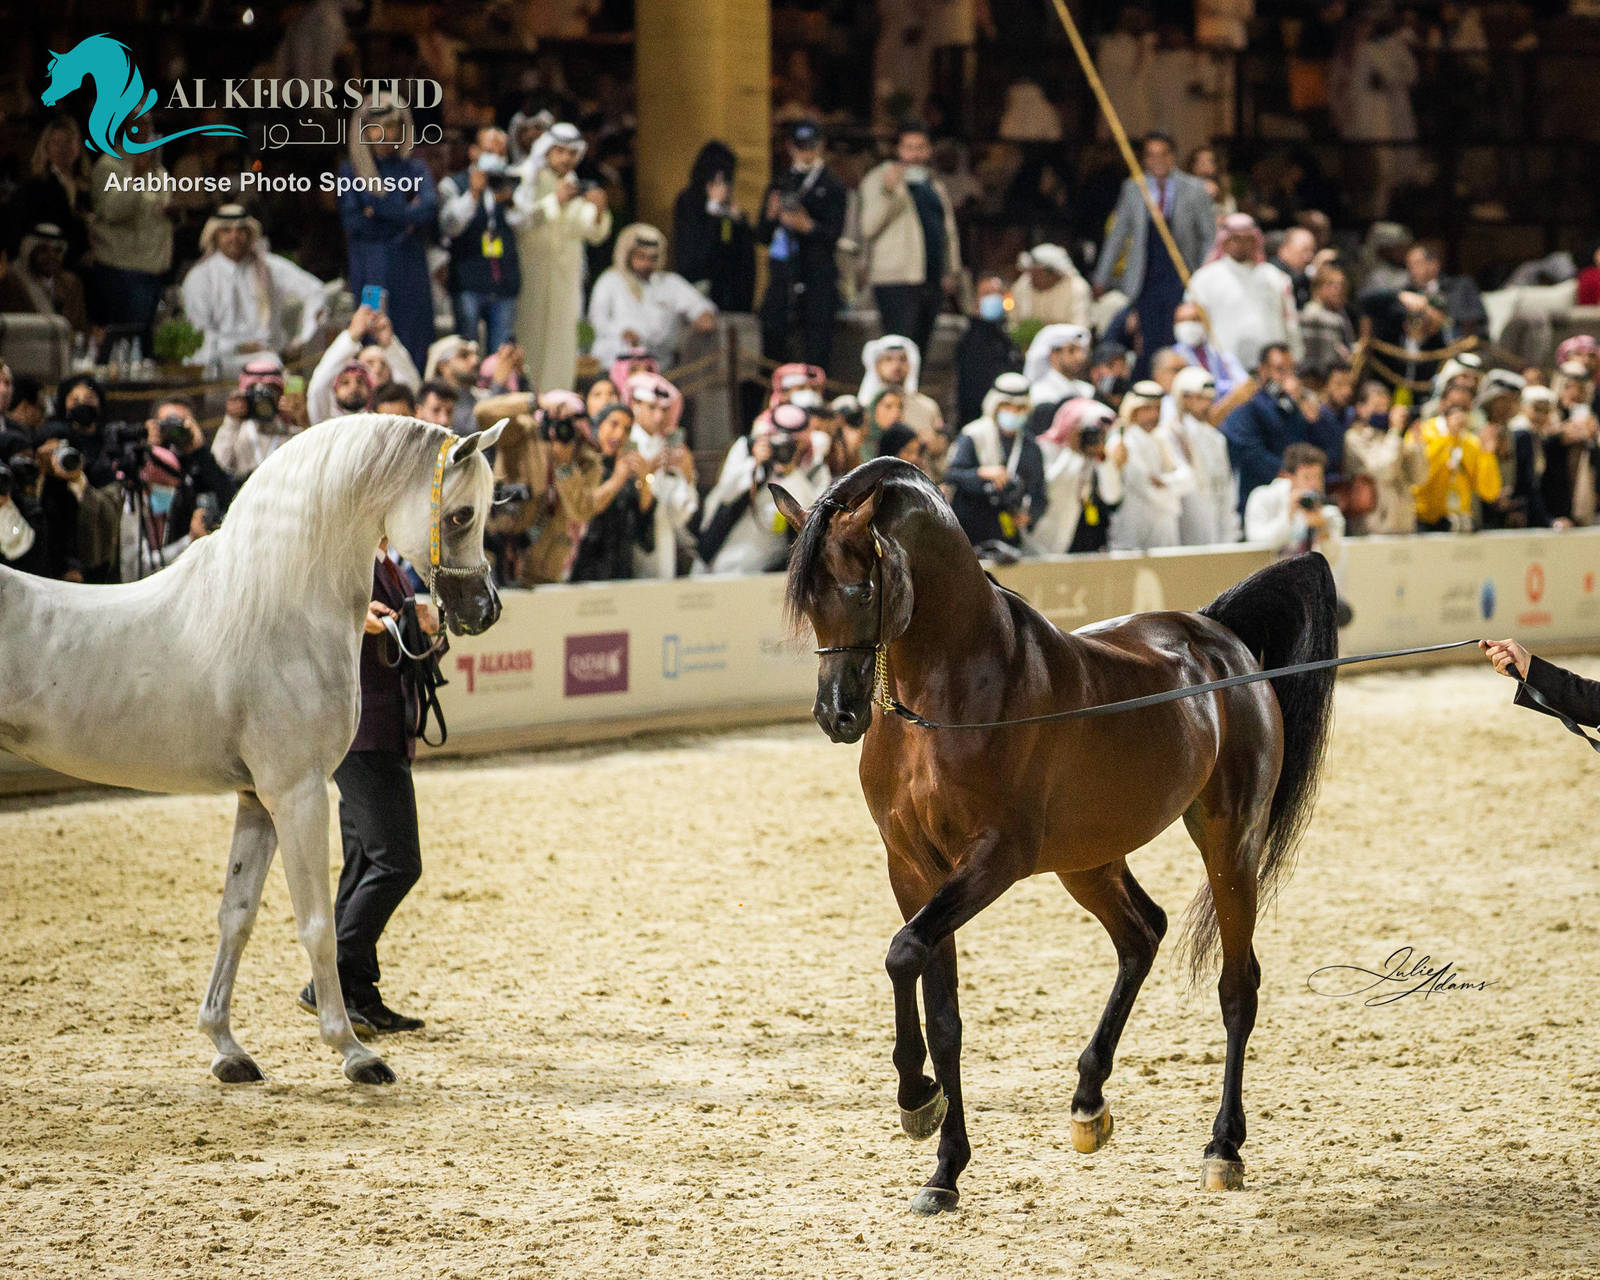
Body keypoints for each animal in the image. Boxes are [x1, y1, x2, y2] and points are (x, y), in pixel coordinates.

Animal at [0, 413, 504, 1086]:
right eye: (461, 514)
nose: (484, 611)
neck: (276, 608)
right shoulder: (298, 794)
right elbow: (317, 924)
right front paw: (354, 1051)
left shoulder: (257, 801)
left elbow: (235, 917)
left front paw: (227, 1048)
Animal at [774, 456, 1337, 1214]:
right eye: (808, 601)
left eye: (861, 587)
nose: (837, 714)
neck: (952, 691)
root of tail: (1220, 638)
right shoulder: (913, 867)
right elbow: (940, 1007)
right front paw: (944, 1167)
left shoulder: (992, 861)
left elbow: (902, 954)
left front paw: (916, 1098)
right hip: (1088, 859)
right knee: (1143, 933)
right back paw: (1088, 1102)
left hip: (1230, 841)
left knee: (1236, 985)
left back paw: (1223, 1148)